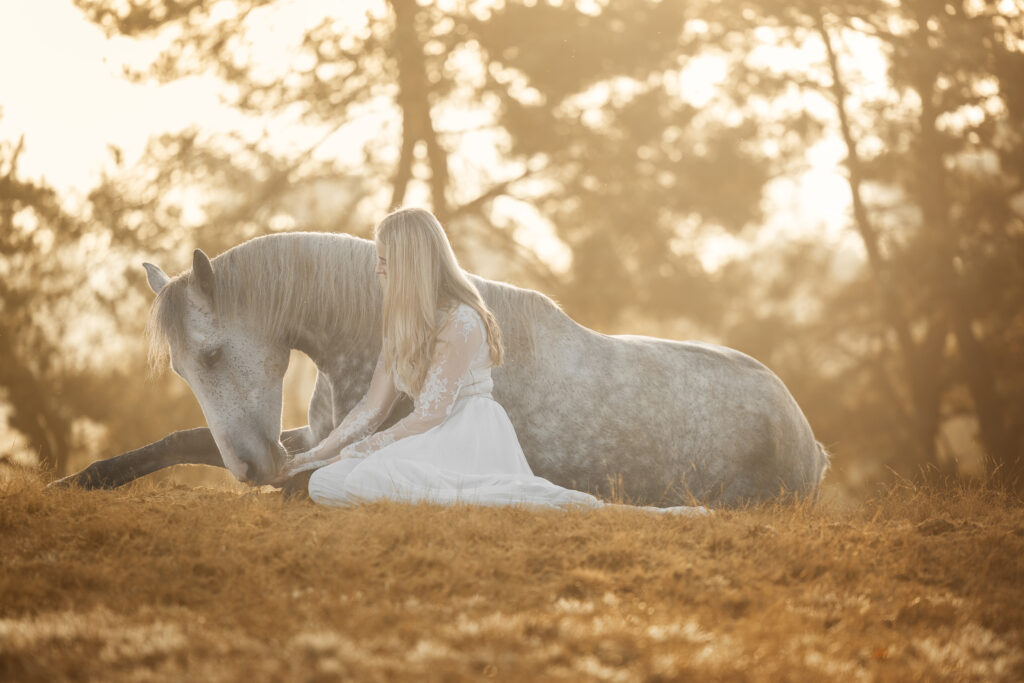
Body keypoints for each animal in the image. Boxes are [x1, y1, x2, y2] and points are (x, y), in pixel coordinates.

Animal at [55, 232, 829, 505]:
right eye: (185, 371)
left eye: (214, 354)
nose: (251, 467)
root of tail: (808, 439)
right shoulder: (314, 436)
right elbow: (177, 442)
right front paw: (79, 480)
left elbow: (304, 482)